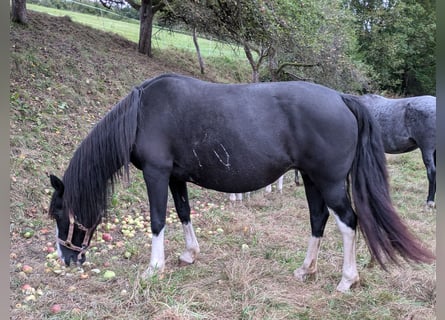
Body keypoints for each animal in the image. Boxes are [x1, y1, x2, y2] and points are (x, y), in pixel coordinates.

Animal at [48, 74, 434, 292]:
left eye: (58, 214)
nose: (67, 259)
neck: (142, 113)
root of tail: (342, 98)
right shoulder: (175, 177)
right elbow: (183, 213)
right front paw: (189, 254)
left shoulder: (156, 174)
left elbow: (158, 220)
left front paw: (153, 269)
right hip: (312, 180)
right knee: (318, 220)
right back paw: (305, 270)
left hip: (330, 182)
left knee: (348, 223)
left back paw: (346, 281)